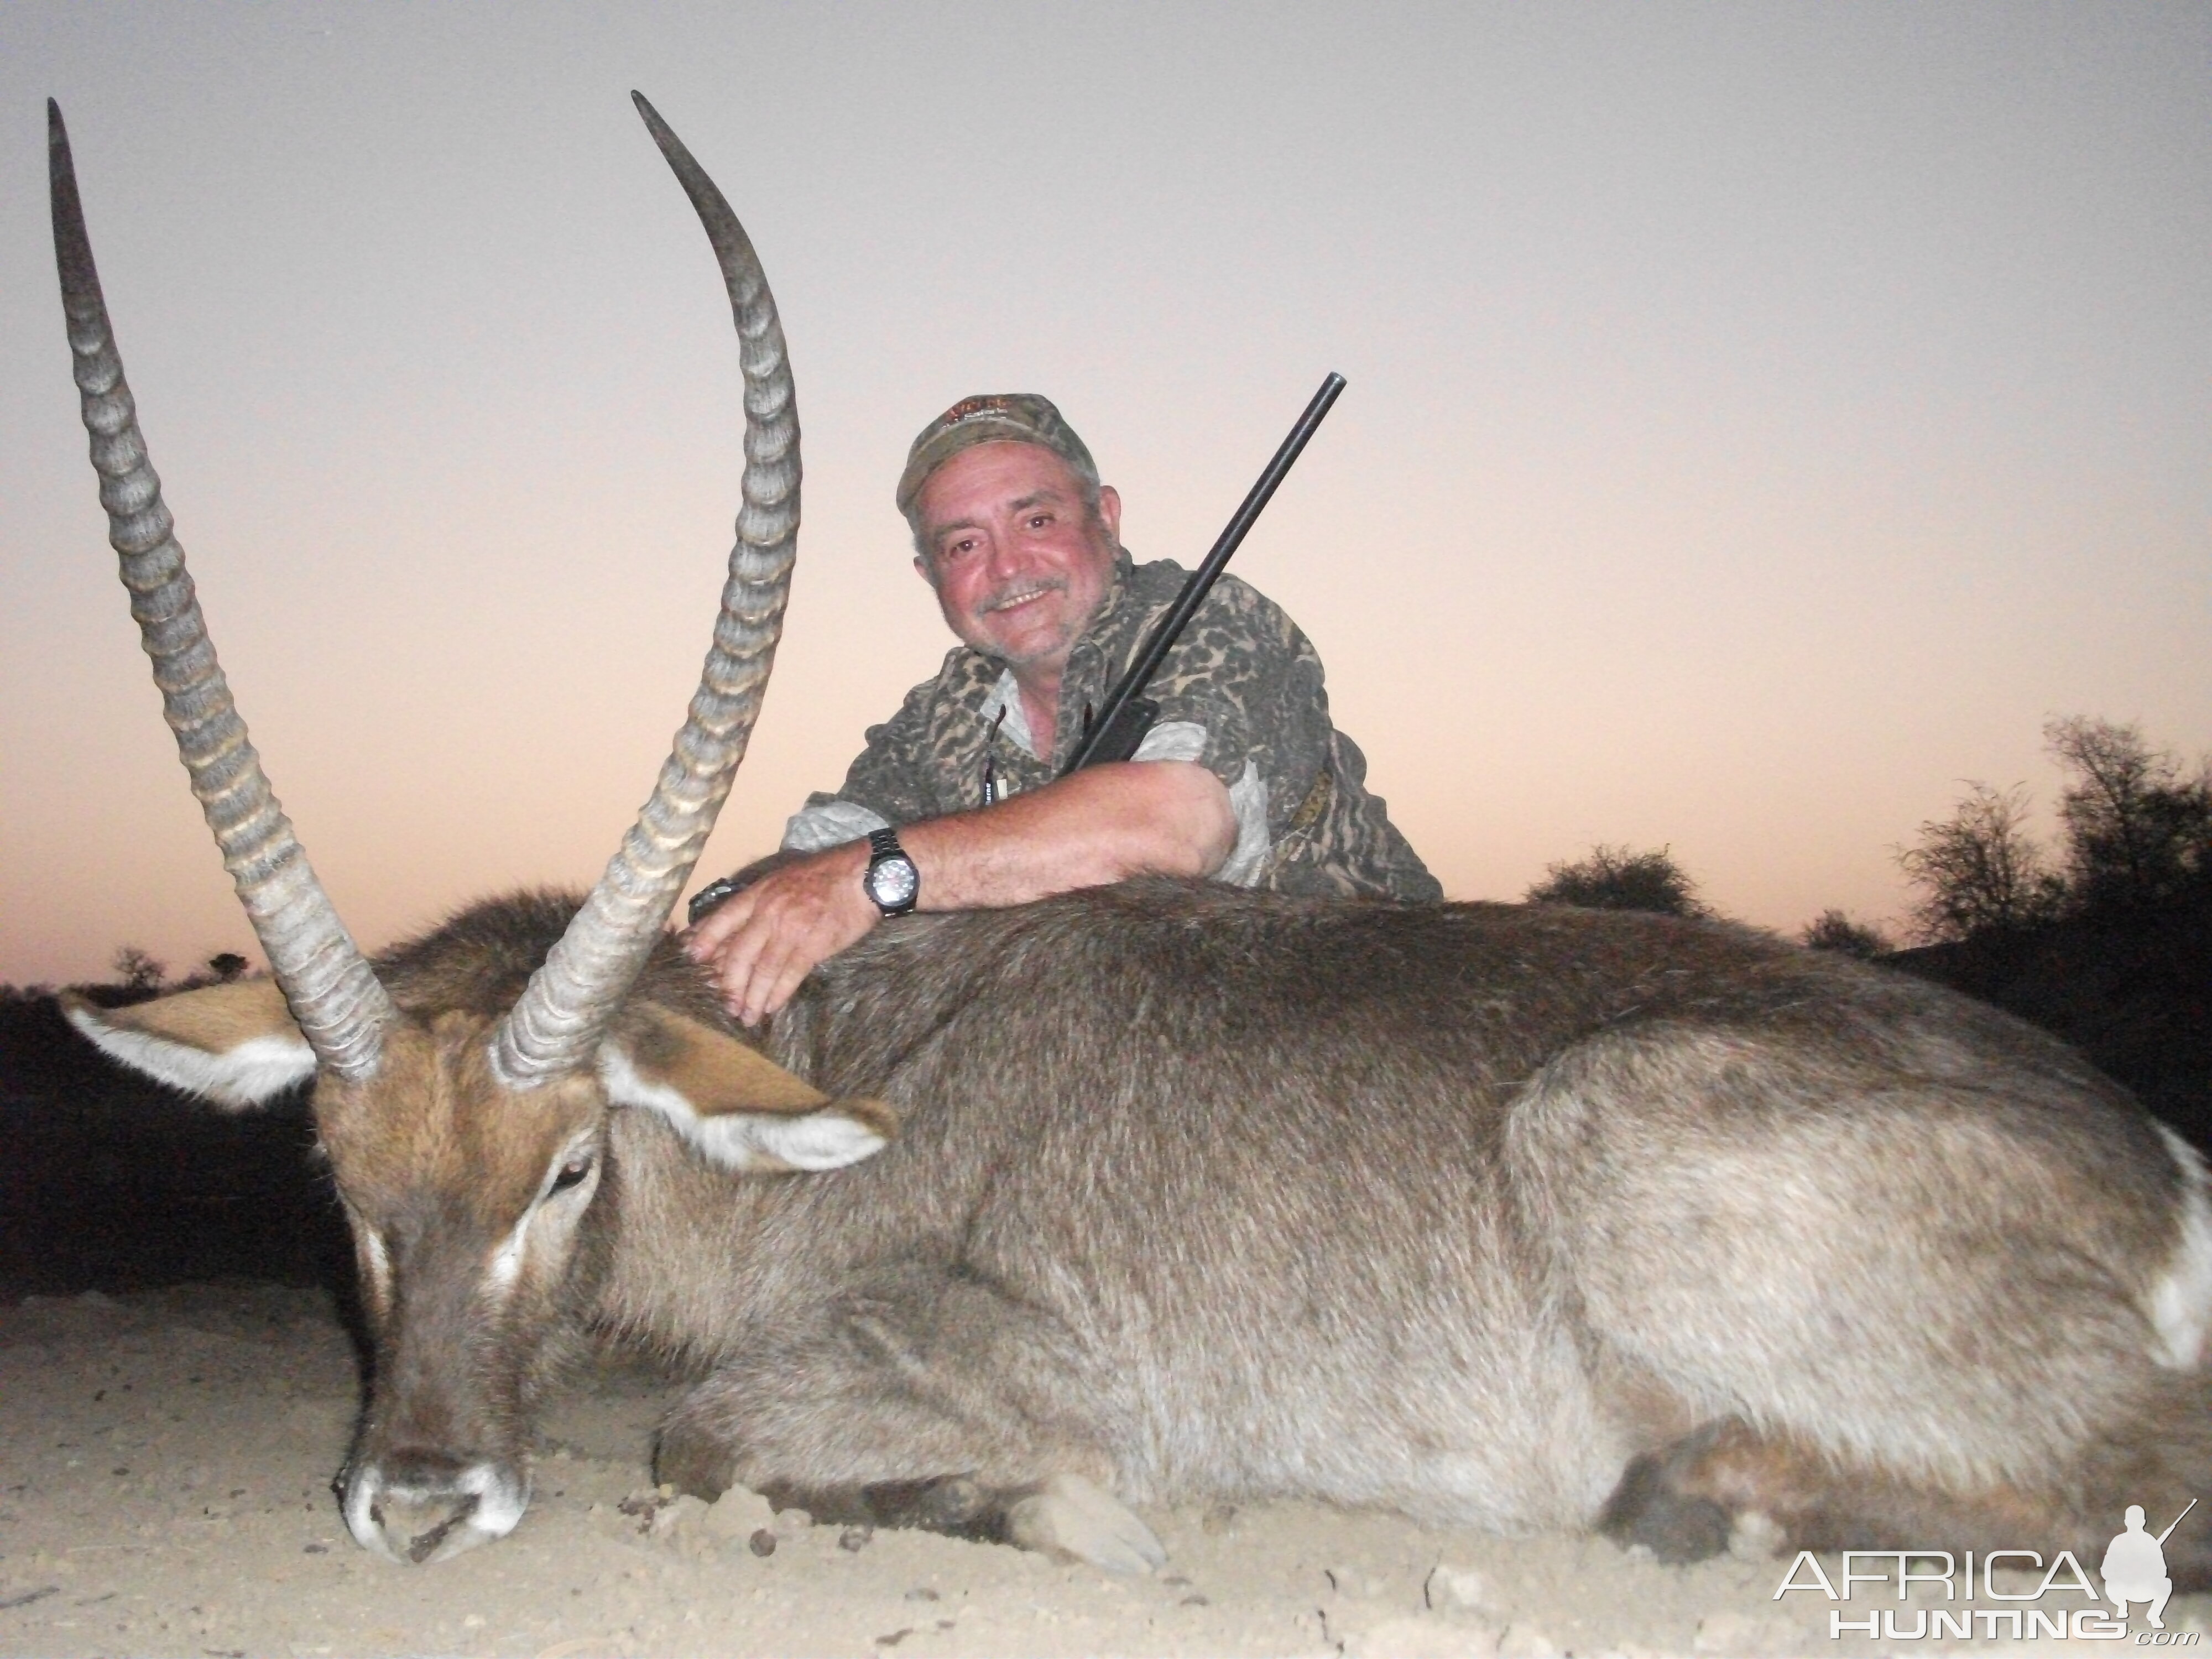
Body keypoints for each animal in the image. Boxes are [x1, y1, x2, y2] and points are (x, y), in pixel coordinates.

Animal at [52, 104, 2212, 1584]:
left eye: (571, 1164)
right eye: (334, 1177)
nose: (417, 1499)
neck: (832, 1052)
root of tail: (2163, 1171)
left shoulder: (1022, 1357)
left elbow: (713, 1433)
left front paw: (1068, 1517)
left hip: (1607, 1130)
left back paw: (1694, 1495)